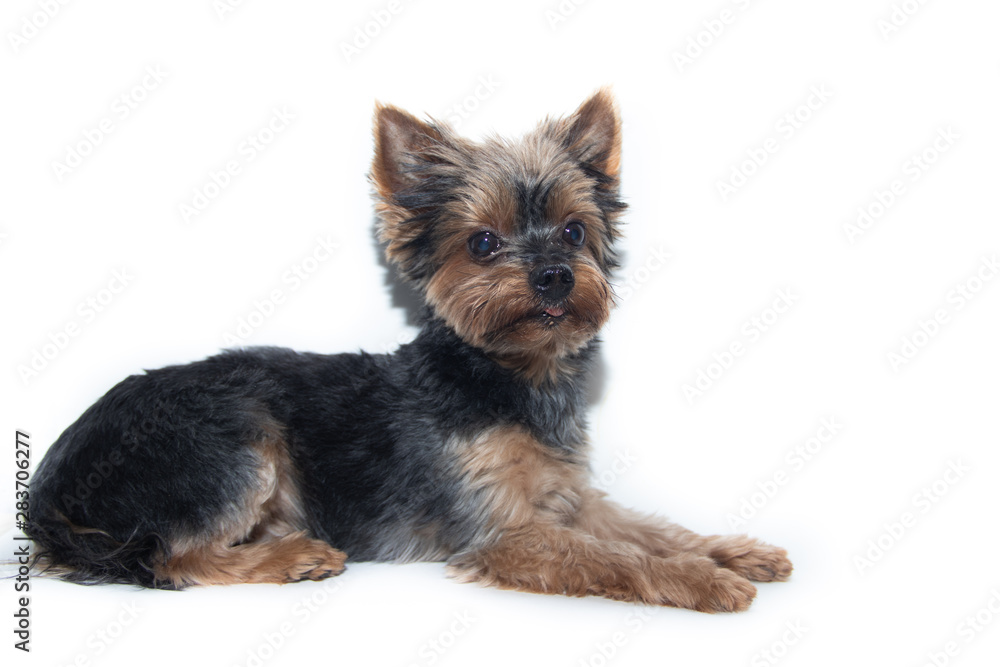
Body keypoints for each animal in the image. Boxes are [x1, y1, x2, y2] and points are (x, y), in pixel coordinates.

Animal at [29, 91, 788, 612]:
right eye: (483, 243)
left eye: (575, 231)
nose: (554, 275)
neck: (511, 377)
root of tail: (47, 488)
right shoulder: (503, 530)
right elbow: (615, 556)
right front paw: (704, 580)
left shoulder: (567, 497)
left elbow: (650, 528)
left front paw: (734, 552)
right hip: (234, 439)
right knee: (175, 557)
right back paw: (292, 556)